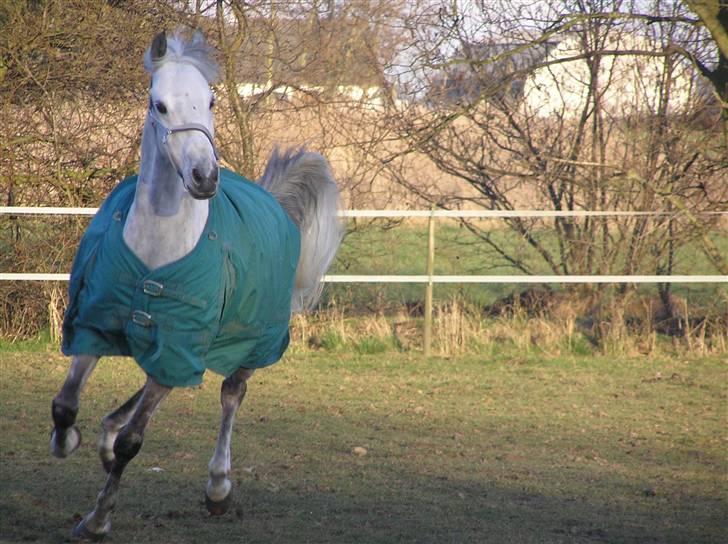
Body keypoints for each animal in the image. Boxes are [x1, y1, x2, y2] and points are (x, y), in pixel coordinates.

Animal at [49, 30, 344, 540]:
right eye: (159, 104)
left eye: (210, 100)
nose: (205, 177)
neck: (156, 252)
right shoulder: (94, 325)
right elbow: (66, 404)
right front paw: (69, 440)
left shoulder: (179, 344)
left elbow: (133, 442)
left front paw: (98, 519)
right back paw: (106, 432)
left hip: (250, 342)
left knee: (230, 395)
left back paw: (218, 488)